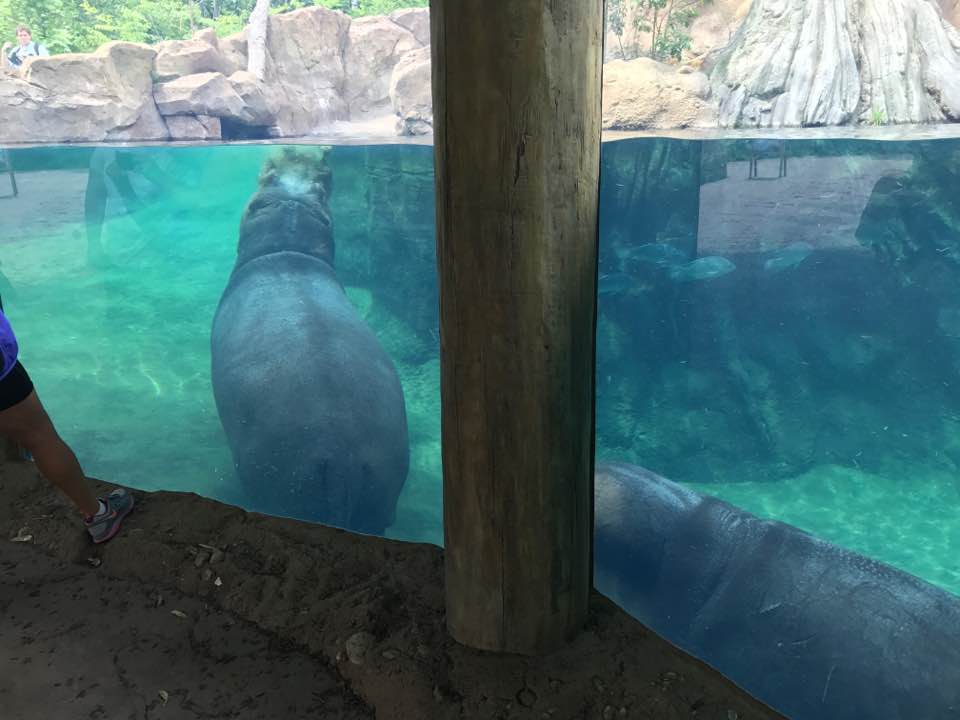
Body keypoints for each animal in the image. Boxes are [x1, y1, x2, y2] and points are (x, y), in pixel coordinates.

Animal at [211, 148, 409, 535]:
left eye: (265, 180)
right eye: (321, 184)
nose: (303, 154)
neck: (288, 251)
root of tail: (343, 453)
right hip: (379, 493)